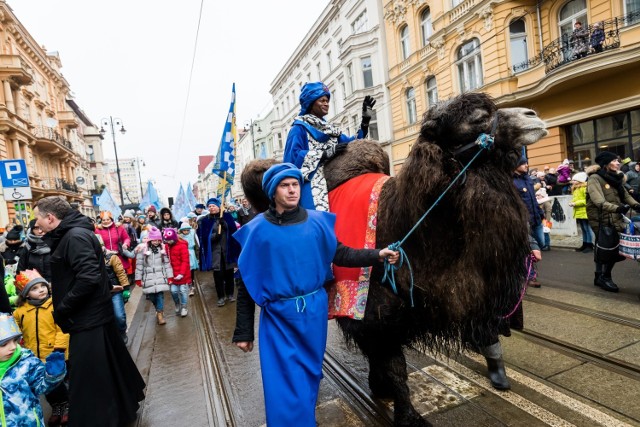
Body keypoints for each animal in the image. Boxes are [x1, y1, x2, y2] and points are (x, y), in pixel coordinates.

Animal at [238, 92, 548, 426]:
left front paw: (381, 388)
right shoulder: (374, 309)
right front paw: (407, 415)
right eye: (477, 118)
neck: (408, 223)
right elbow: (395, 365)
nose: (532, 116)